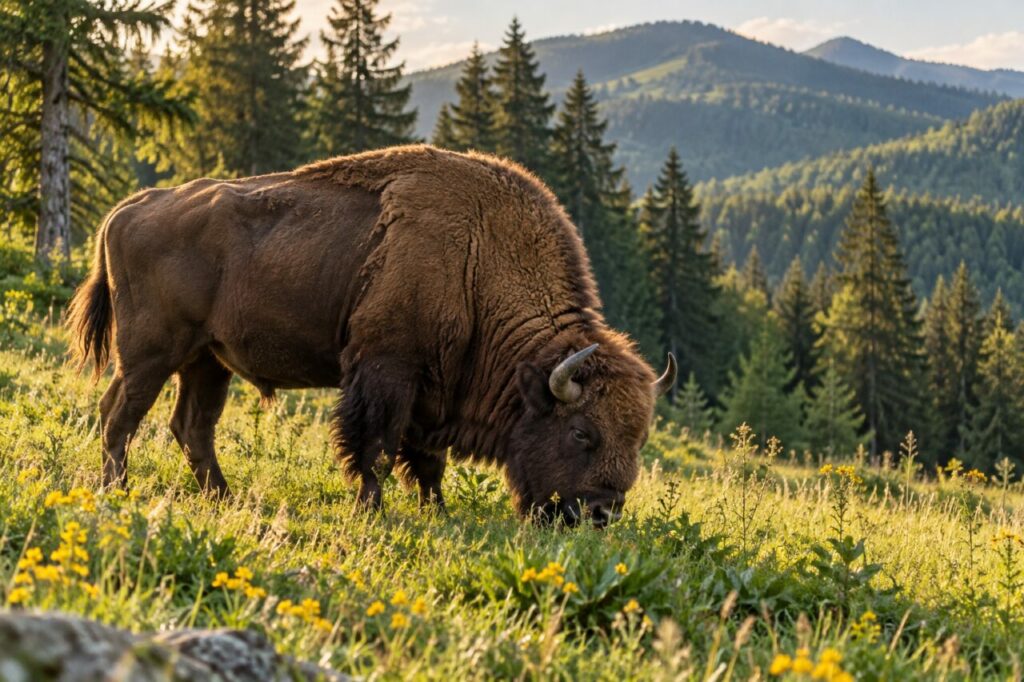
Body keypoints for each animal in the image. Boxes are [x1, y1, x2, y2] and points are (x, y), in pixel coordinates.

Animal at [68, 145, 675, 526]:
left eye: (638, 438)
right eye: (582, 433)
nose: (601, 514)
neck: (477, 257)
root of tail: (131, 206)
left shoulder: (435, 390)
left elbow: (427, 462)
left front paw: (437, 512)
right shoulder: (386, 371)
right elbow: (376, 448)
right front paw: (373, 510)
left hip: (207, 361)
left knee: (192, 426)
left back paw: (223, 497)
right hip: (151, 352)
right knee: (119, 413)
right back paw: (117, 490)